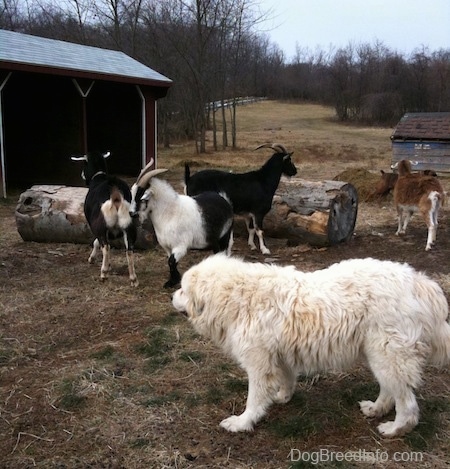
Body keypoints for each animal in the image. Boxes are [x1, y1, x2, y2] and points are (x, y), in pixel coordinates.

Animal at [71, 150, 139, 286]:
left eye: (84, 163)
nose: (82, 174)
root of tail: (115, 192)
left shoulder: (98, 227)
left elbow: (97, 242)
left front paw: (92, 259)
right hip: (129, 226)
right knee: (129, 249)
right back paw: (133, 279)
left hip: (100, 225)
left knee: (106, 247)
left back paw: (103, 273)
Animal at [173, 254, 450, 436]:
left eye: (183, 290)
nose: (171, 295)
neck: (237, 296)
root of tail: (420, 282)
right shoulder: (279, 356)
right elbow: (287, 379)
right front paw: (282, 397)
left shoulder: (258, 363)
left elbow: (254, 399)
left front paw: (242, 423)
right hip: (380, 356)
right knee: (390, 390)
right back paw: (375, 409)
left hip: (388, 355)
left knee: (408, 405)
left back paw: (395, 429)